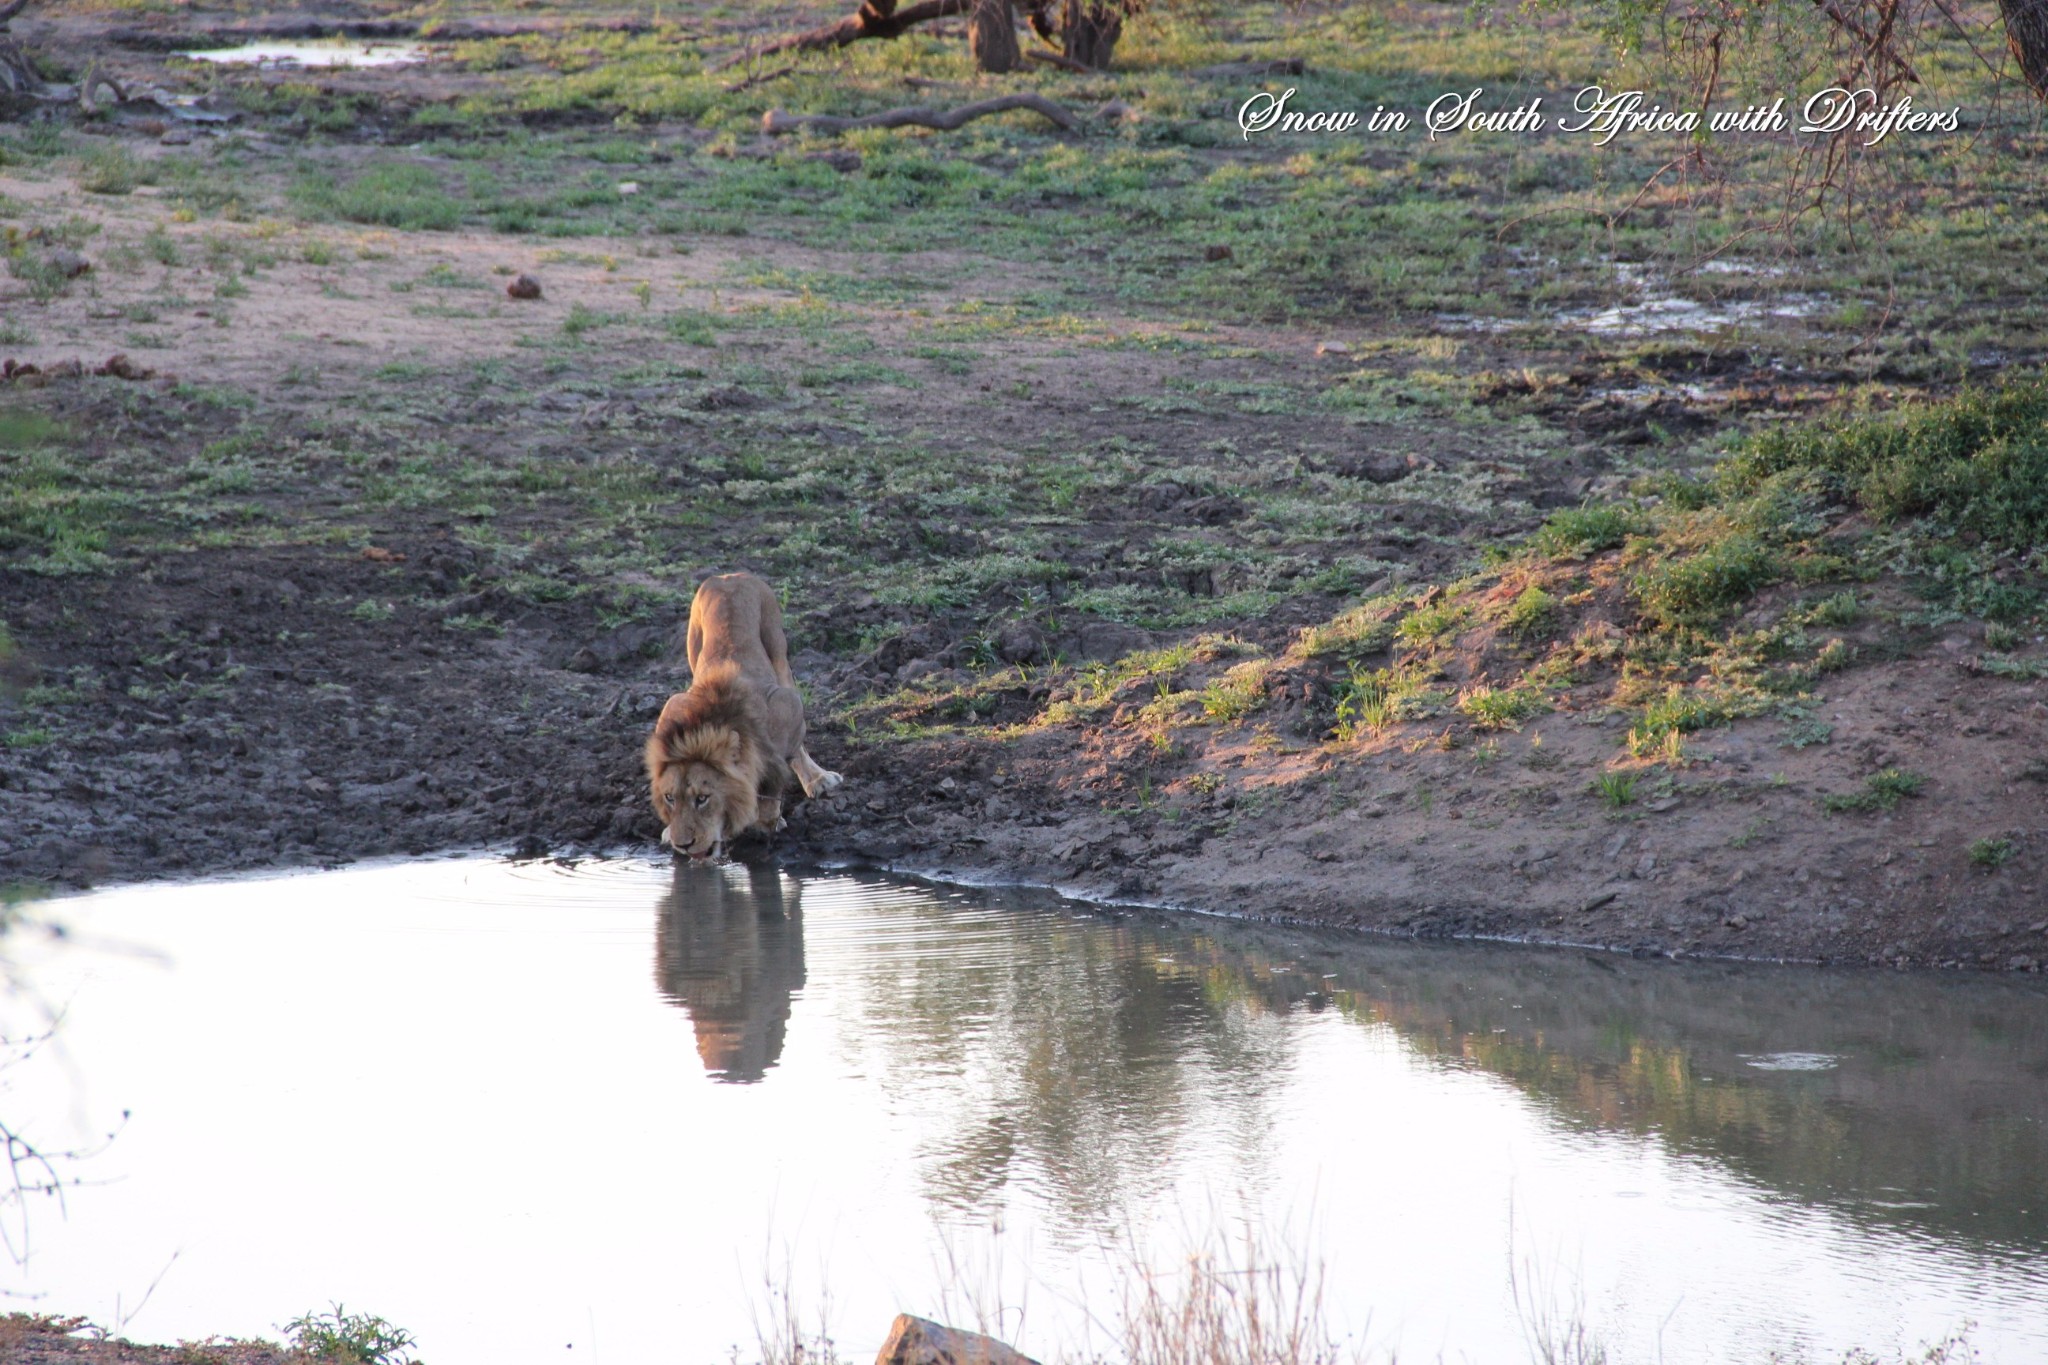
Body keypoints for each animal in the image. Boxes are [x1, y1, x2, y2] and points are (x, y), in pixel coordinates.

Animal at [634, 573, 835, 859]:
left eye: (702, 798)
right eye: (670, 798)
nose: (683, 844)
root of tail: (729, 576)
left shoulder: (786, 705)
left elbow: (776, 774)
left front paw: (766, 820)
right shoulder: (675, 704)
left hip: (778, 651)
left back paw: (818, 779)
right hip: (693, 645)